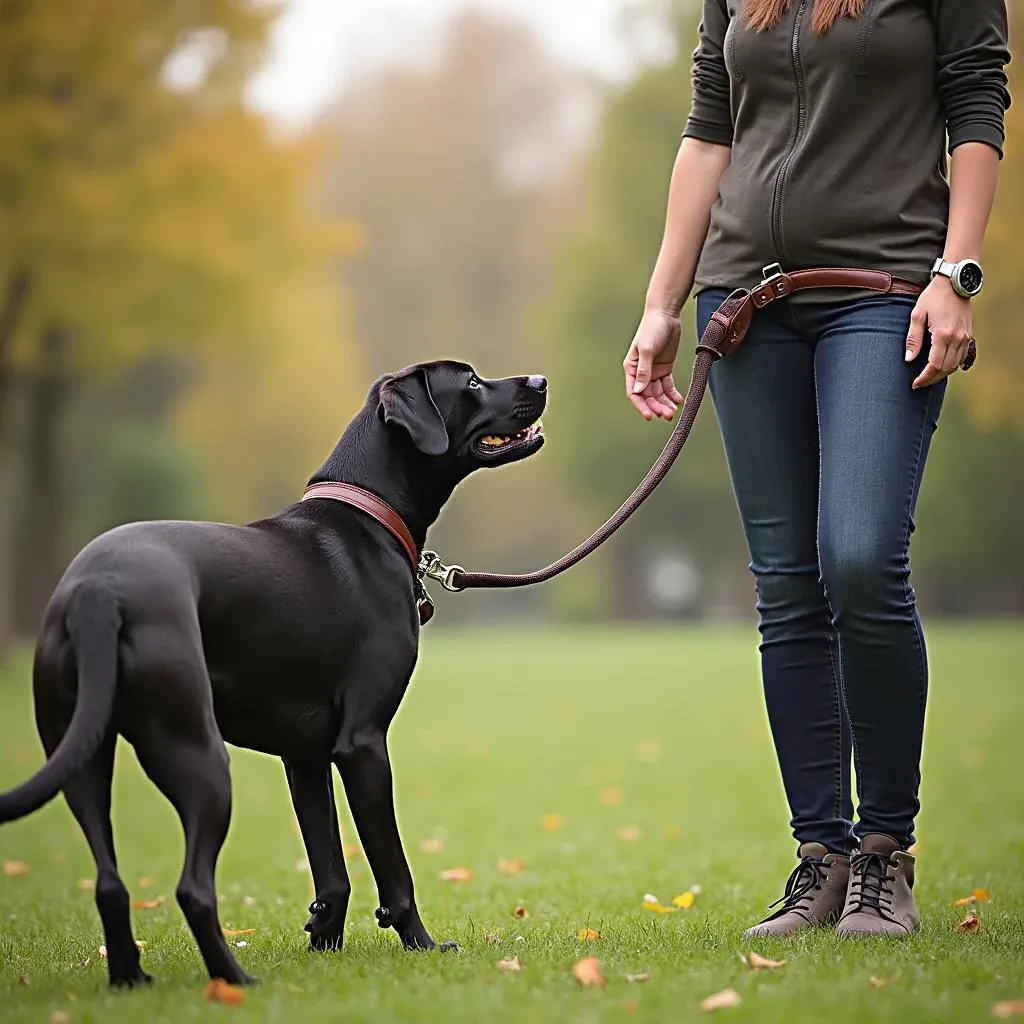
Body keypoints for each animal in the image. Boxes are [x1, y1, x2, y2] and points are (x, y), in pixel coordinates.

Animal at [0, 360, 544, 983]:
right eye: (472, 382)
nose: (540, 381)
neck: (369, 513)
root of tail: (96, 591)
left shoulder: (304, 755)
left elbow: (331, 870)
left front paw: (324, 945)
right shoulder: (362, 745)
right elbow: (393, 870)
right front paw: (423, 946)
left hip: (80, 760)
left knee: (109, 883)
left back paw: (131, 981)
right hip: (198, 755)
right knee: (192, 888)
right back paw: (234, 980)